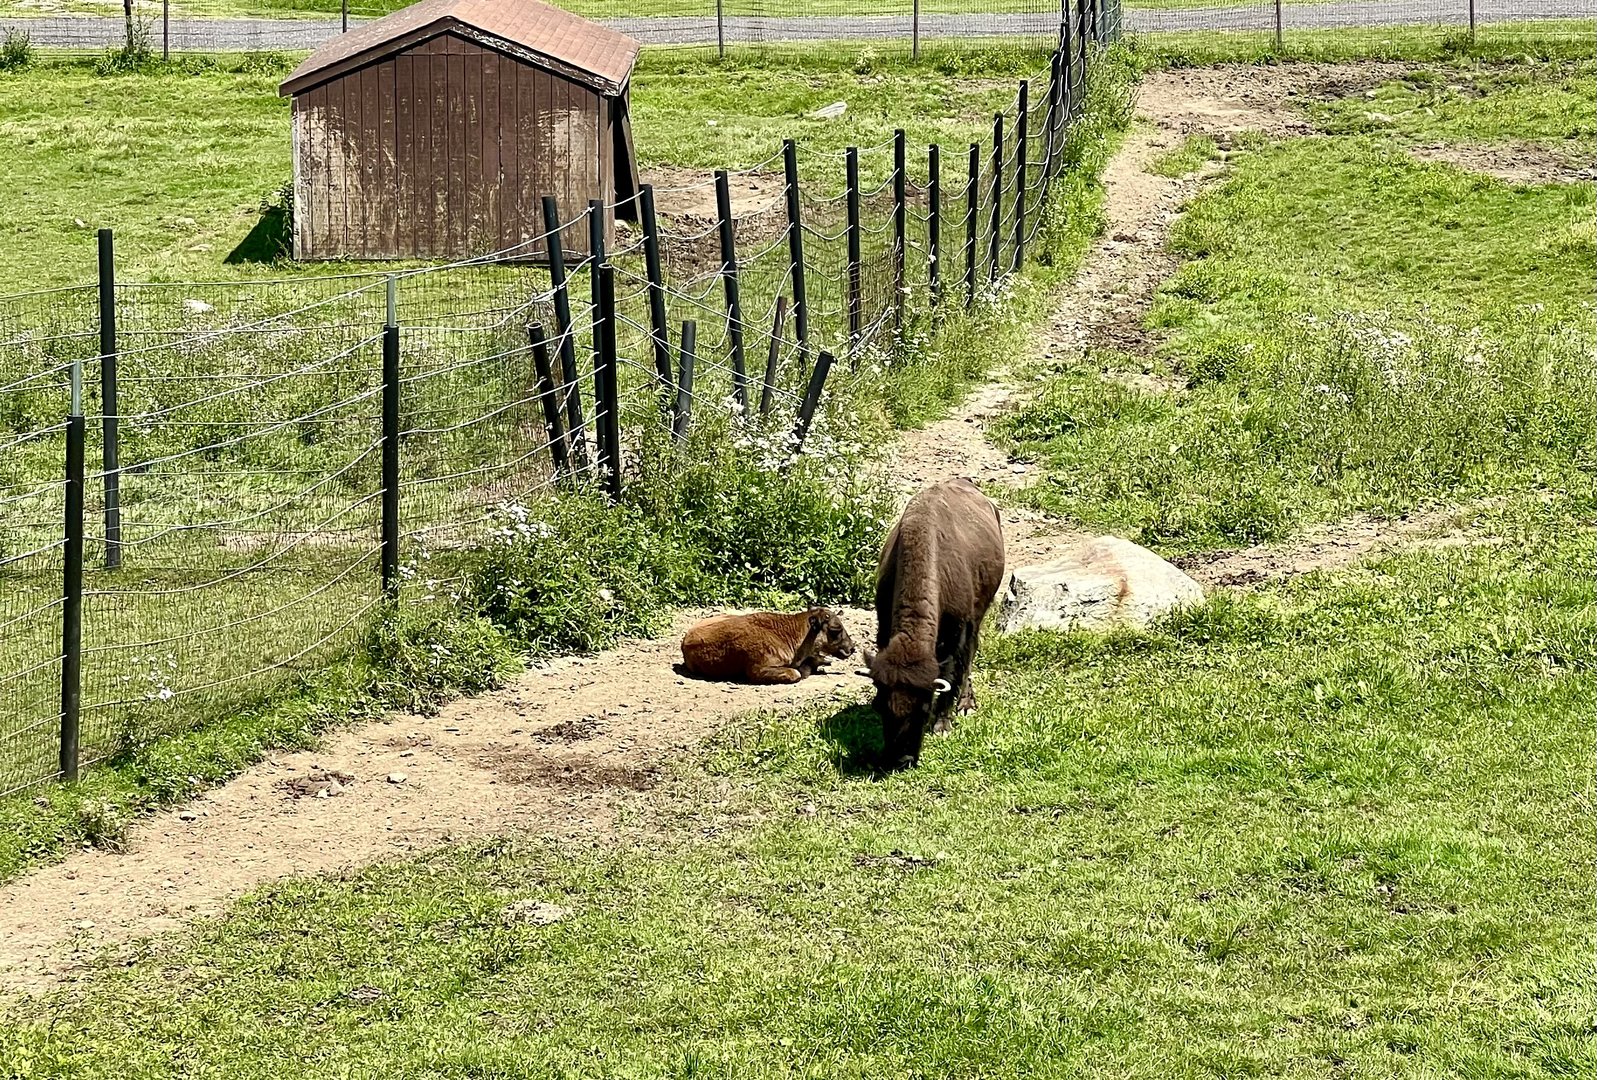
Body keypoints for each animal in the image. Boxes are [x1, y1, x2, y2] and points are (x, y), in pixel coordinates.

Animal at [866, 478, 1004, 770]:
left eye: (924, 709)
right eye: (882, 706)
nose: (902, 759)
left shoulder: (957, 632)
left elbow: (953, 672)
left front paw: (943, 725)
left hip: (978, 616)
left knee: (970, 657)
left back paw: (966, 704)